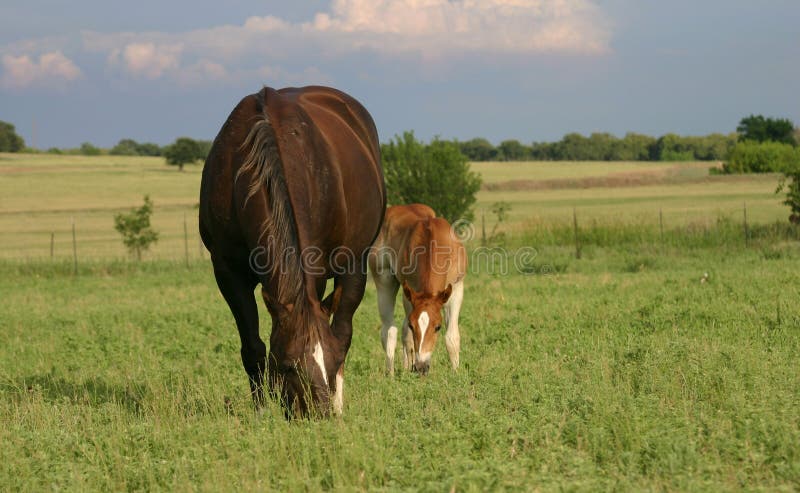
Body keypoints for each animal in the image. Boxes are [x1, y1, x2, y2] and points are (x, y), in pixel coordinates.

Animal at [202, 86, 386, 418]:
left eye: (332, 362)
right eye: (288, 366)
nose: (318, 415)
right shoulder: (227, 272)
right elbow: (252, 346)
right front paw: (262, 412)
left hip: (354, 264)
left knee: (343, 327)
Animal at [368, 203, 468, 372]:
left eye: (438, 327)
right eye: (413, 325)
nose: (422, 367)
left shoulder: (456, 288)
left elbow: (452, 337)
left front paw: (456, 373)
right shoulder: (411, 292)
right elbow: (407, 335)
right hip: (385, 281)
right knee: (389, 331)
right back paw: (391, 373)